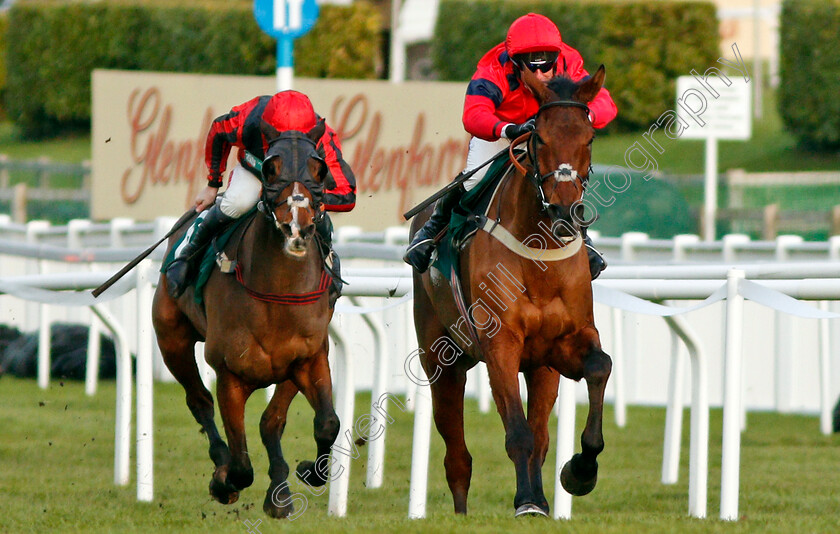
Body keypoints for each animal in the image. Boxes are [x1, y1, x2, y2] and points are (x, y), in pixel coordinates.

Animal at [151, 121, 338, 520]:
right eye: (270, 168)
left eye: (319, 170)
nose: (298, 227)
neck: (277, 294)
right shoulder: (230, 375)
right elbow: (241, 465)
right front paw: (224, 482)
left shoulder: (310, 358)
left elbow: (326, 423)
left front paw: (306, 473)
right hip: (172, 341)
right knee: (199, 401)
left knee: (270, 421)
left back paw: (280, 490)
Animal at [412, 66, 612, 520]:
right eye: (540, 138)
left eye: (589, 138)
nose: (564, 212)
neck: (540, 256)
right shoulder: (500, 342)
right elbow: (517, 432)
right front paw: (527, 501)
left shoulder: (567, 342)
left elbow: (599, 367)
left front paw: (580, 471)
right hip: (441, 360)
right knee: (458, 455)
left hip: (541, 369)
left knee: (540, 436)